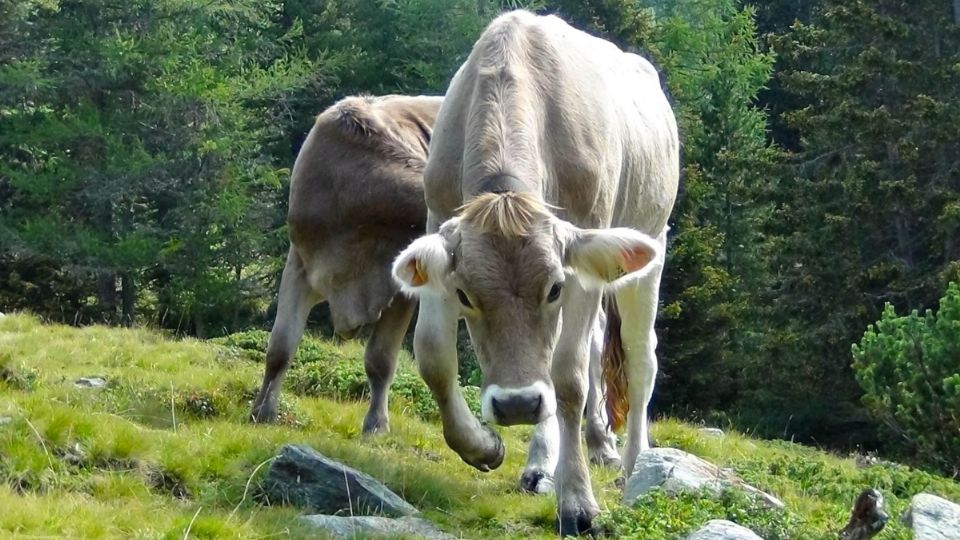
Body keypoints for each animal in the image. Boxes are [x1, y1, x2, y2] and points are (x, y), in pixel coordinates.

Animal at [394, 11, 680, 536]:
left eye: (554, 287)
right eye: (464, 295)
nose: (516, 405)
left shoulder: (583, 246)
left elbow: (567, 377)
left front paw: (578, 502)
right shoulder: (438, 219)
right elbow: (432, 353)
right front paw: (482, 446)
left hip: (652, 238)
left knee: (637, 354)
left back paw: (633, 463)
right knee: (591, 345)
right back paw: (565, 456)